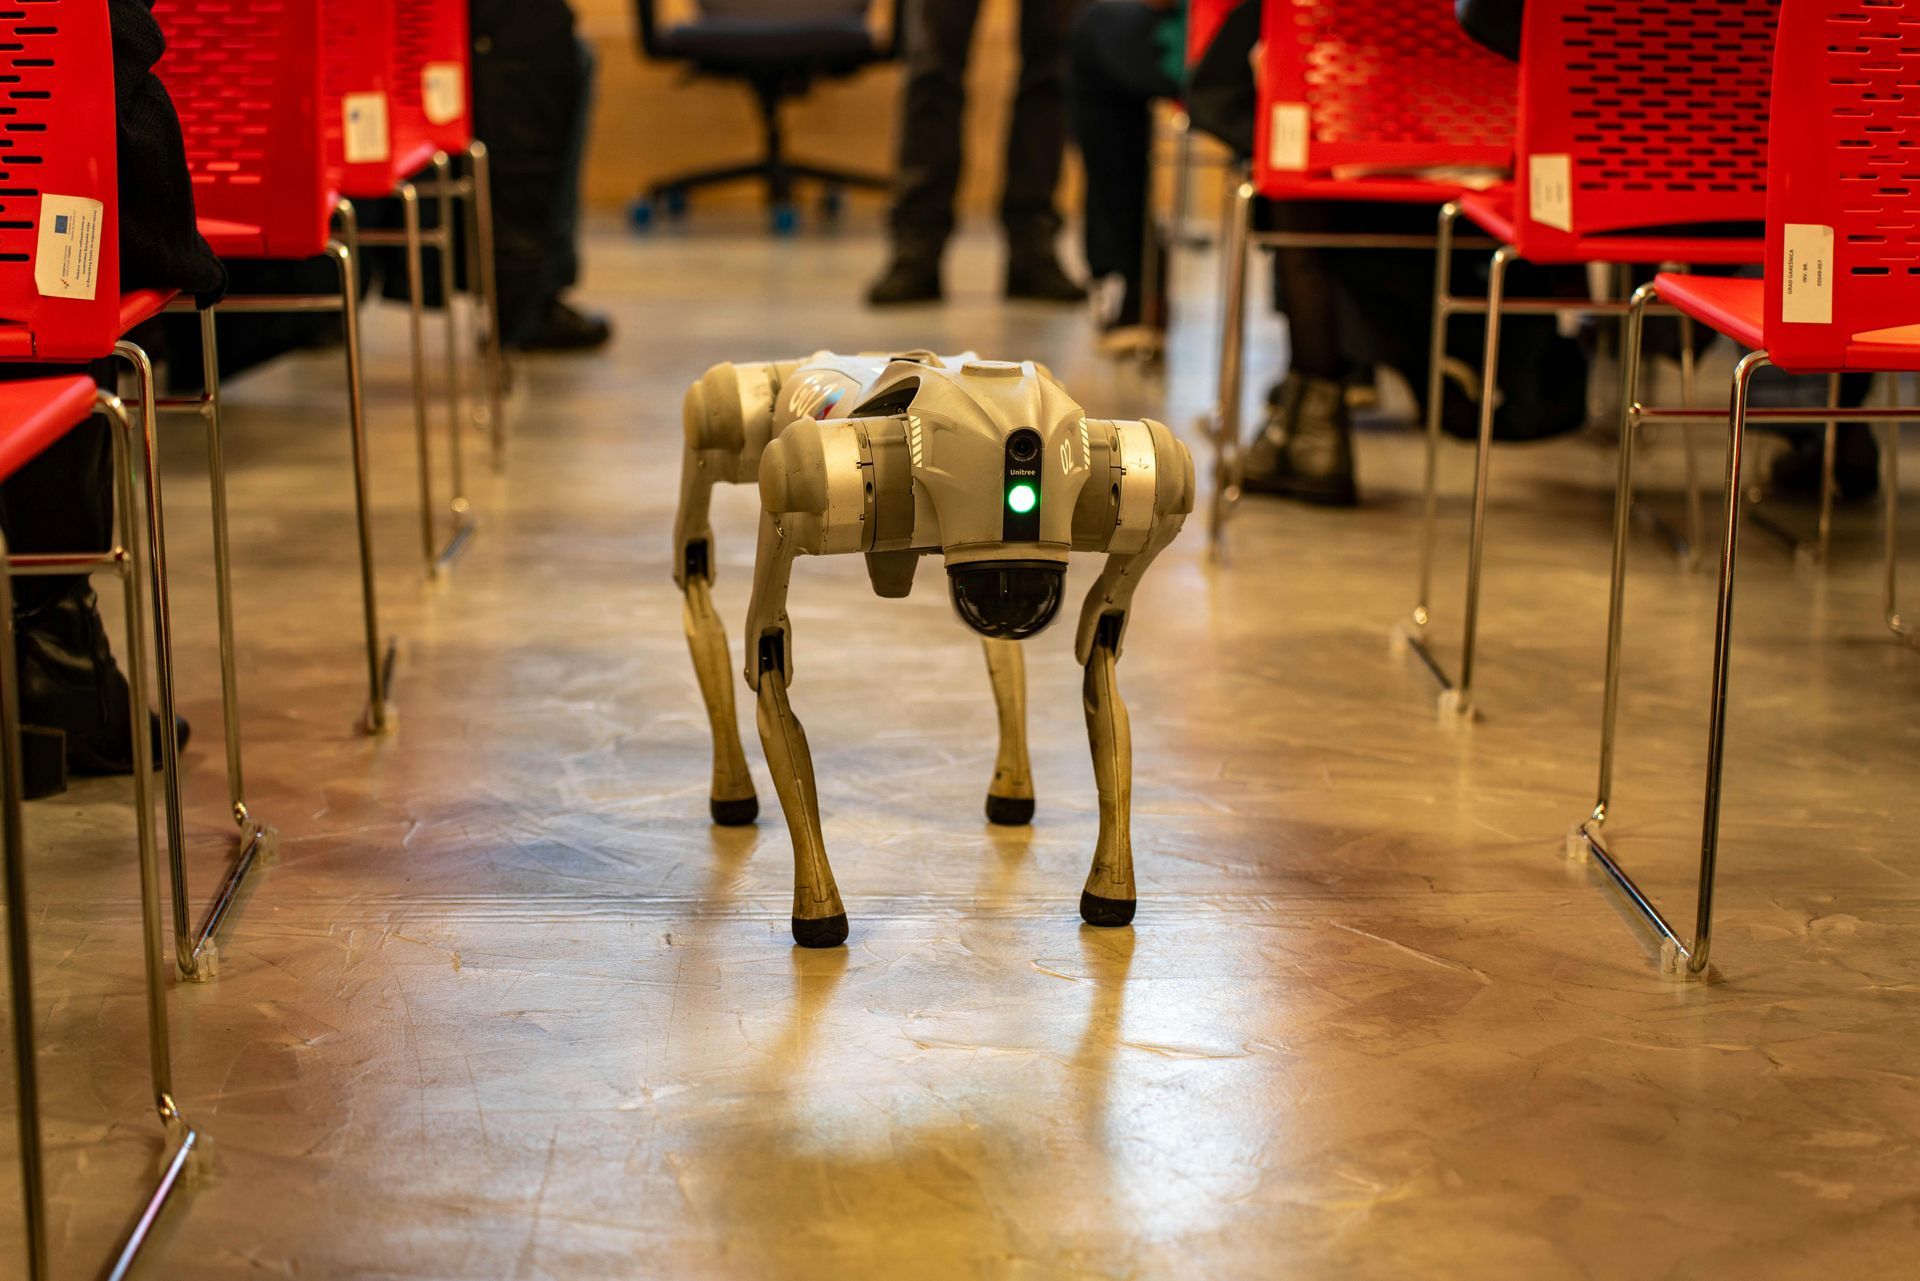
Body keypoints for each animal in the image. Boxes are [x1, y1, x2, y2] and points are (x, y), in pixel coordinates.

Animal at [672, 355, 1182, 948]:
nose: (1009, 604)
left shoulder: (1147, 482)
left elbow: (1101, 645)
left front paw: (1110, 888)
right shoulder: (804, 481)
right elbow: (767, 648)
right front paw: (820, 912)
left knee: (1010, 657)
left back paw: (1012, 786)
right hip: (739, 425)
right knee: (704, 452)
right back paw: (732, 791)